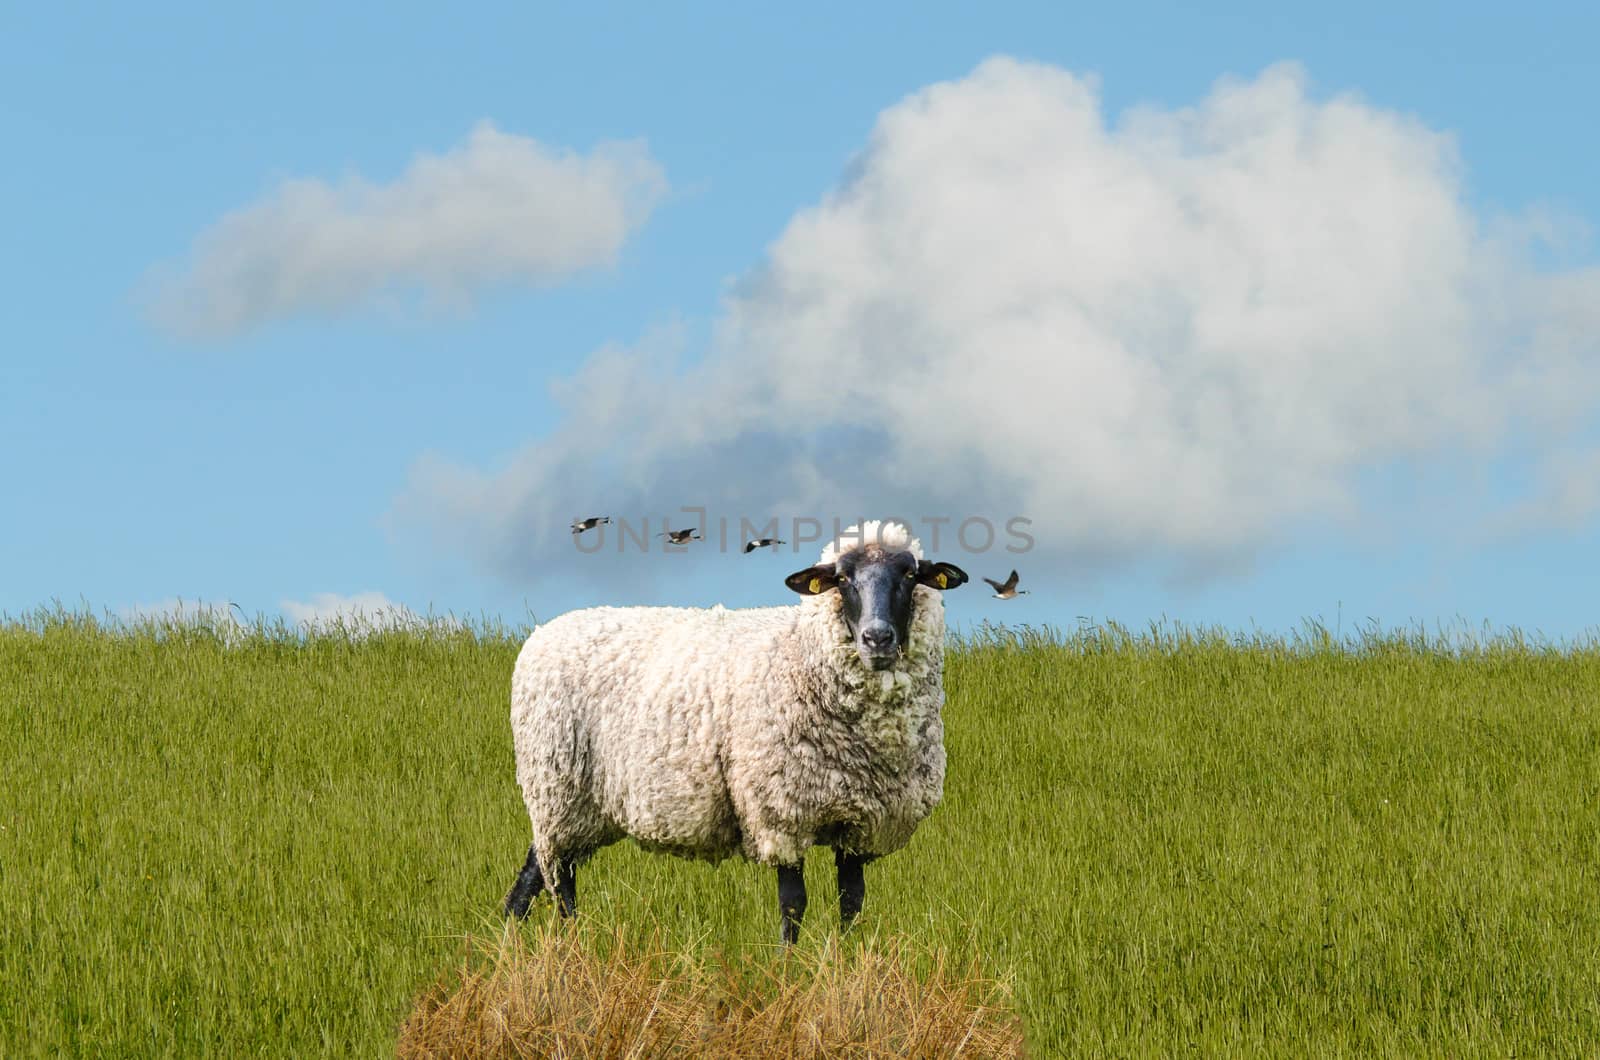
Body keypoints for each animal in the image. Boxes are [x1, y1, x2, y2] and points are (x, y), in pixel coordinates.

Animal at [505, 518, 966, 941]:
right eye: (841, 579)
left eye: (910, 575)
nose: (877, 638)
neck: (801, 652)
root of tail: (541, 634)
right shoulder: (779, 812)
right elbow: (793, 904)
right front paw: (788, 966)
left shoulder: (861, 823)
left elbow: (852, 901)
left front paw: (848, 961)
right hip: (557, 790)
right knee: (559, 881)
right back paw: (571, 942)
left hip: (578, 808)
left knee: (530, 876)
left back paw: (512, 943)